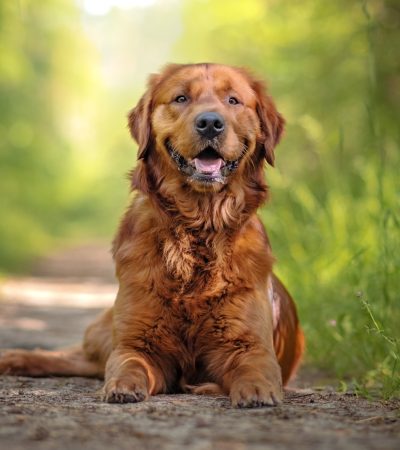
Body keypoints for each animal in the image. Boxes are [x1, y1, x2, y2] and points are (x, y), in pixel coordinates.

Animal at [0, 63, 304, 408]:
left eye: (233, 100)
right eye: (181, 98)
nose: (210, 123)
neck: (197, 226)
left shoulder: (249, 343)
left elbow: (254, 367)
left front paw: (255, 391)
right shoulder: (137, 341)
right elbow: (129, 363)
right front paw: (122, 386)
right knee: (77, 356)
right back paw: (14, 358)